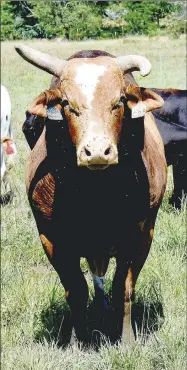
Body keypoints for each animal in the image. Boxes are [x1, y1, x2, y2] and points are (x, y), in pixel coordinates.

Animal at [14, 45, 167, 344]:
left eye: (120, 100)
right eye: (66, 103)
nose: (97, 152)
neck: (96, 194)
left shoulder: (142, 235)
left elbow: (124, 288)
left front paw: (126, 340)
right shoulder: (51, 238)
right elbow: (76, 290)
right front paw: (78, 340)